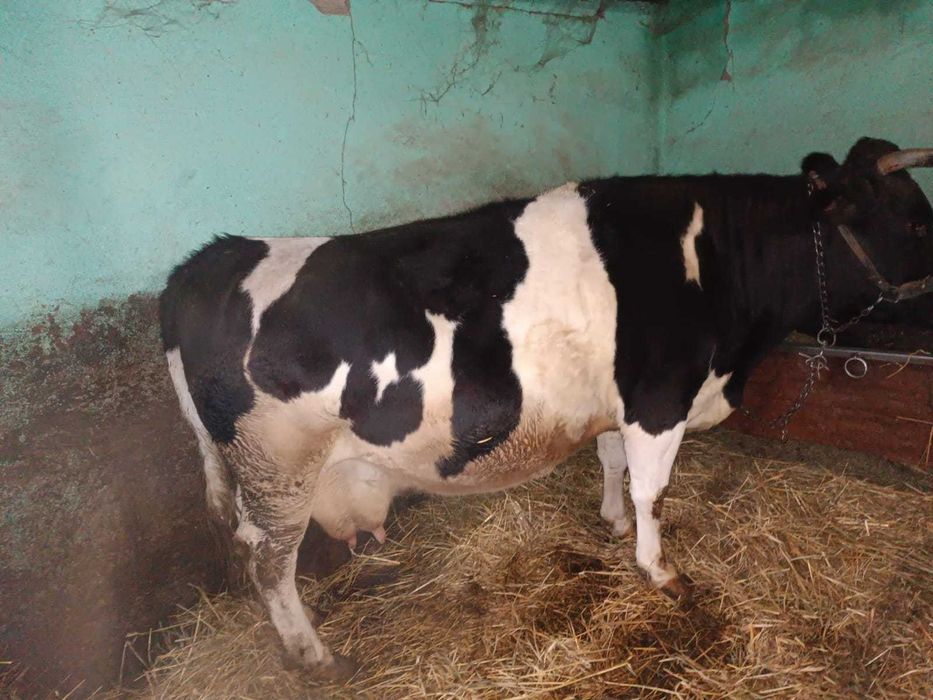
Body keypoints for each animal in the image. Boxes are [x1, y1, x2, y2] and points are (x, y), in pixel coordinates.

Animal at [160, 137, 933, 681]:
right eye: (914, 220)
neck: (715, 262)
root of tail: (205, 262)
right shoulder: (659, 398)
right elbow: (653, 489)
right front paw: (659, 570)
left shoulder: (616, 401)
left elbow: (613, 461)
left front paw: (611, 522)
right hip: (279, 468)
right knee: (269, 563)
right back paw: (315, 655)